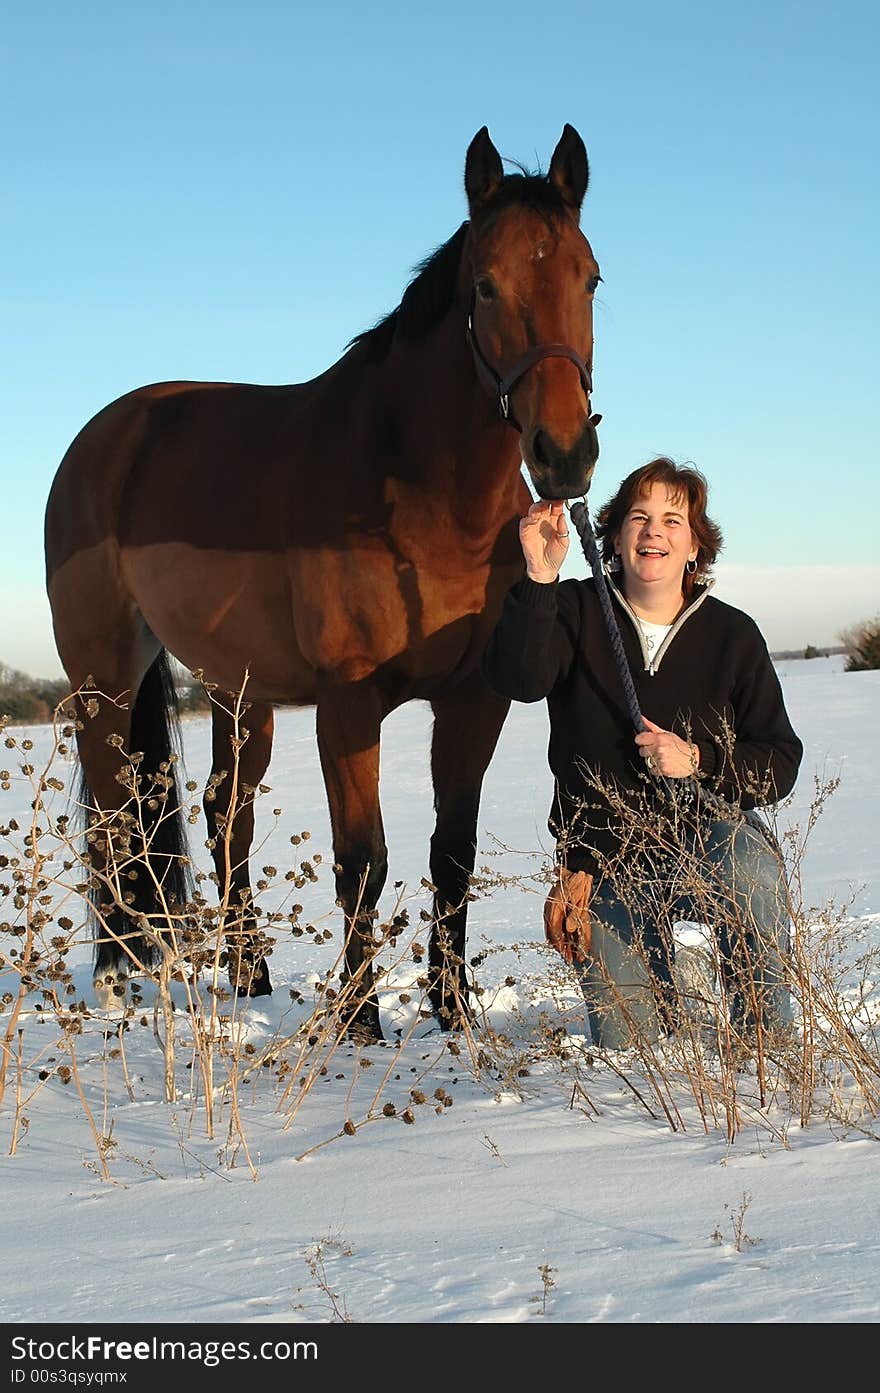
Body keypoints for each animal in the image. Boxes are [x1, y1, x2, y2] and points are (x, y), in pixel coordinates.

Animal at [44, 125, 601, 1041]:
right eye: (486, 284)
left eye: (590, 277)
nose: (565, 455)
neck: (417, 497)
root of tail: (106, 436)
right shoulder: (347, 705)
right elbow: (362, 860)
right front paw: (359, 1023)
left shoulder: (472, 700)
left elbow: (452, 852)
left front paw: (453, 1012)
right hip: (105, 682)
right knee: (117, 819)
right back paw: (124, 981)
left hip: (240, 694)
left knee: (223, 814)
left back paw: (249, 975)